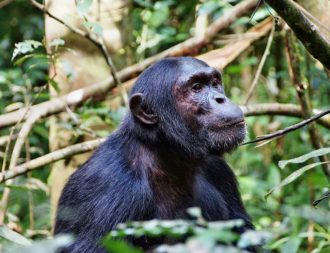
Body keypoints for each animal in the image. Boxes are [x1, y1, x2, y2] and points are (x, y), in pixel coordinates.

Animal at [55, 56, 254, 252]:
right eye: (196, 87)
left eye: (214, 83)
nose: (220, 98)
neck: (166, 155)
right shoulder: (104, 190)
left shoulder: (219, 170)